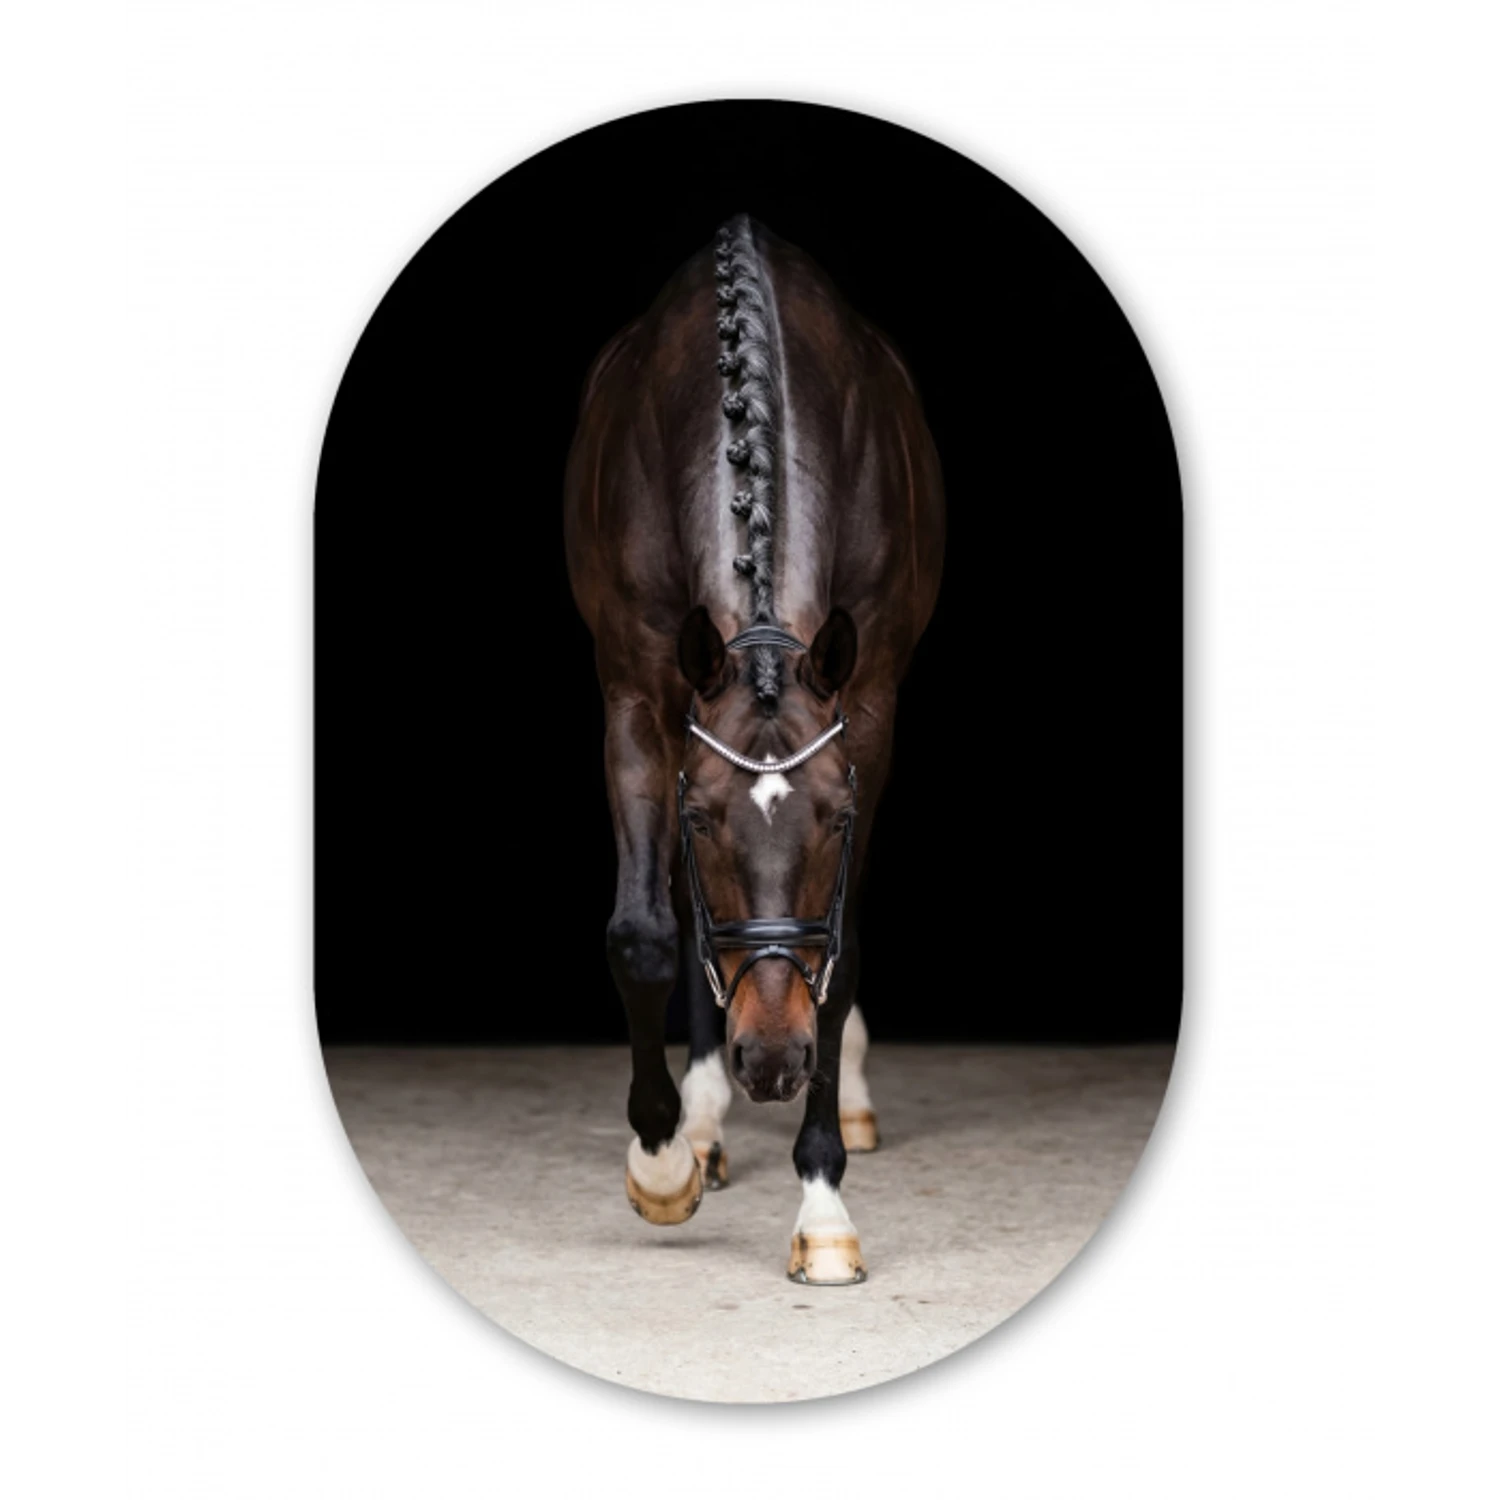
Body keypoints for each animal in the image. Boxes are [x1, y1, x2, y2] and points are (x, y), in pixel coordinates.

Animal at [564, 215, 944, 1284]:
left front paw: (822, 1206)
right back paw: (701, 1123)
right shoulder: (636, 697)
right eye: (699, 819)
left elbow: (838, 953)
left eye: (838, 818)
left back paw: (841, 1098)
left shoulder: (868, 708)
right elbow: (647, 933)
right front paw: (661, 1163)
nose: (772, 1060)